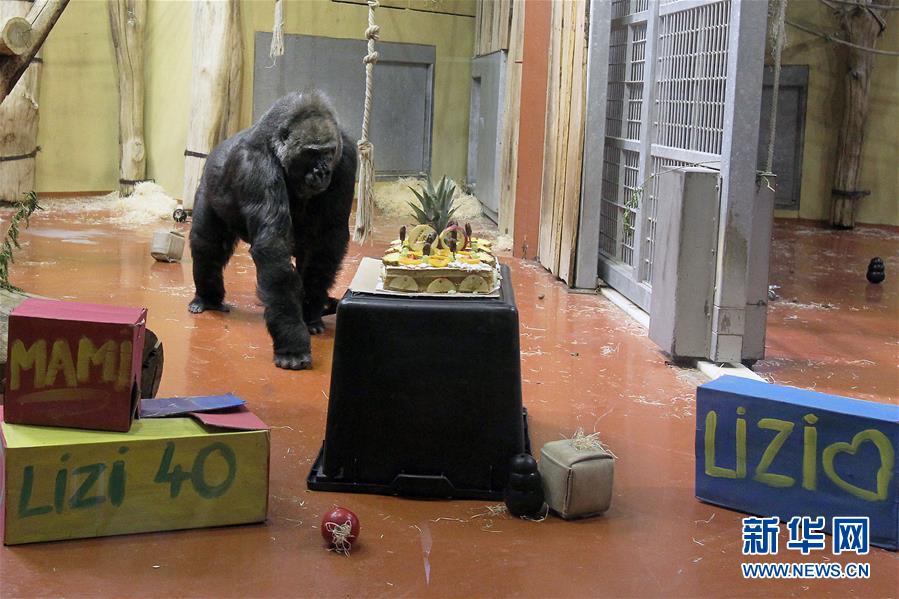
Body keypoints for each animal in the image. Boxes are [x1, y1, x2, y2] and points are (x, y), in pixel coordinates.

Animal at [188, 91, 356, 370]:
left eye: (329, 151)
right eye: (311, 153)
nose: (323, 171)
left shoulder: (347, 157)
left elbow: (327, 241)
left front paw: (311, 311)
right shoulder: (256, 165)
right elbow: (272, 246)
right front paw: (292, 341)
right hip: (207, 187)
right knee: (207, 245)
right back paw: (207, 298)